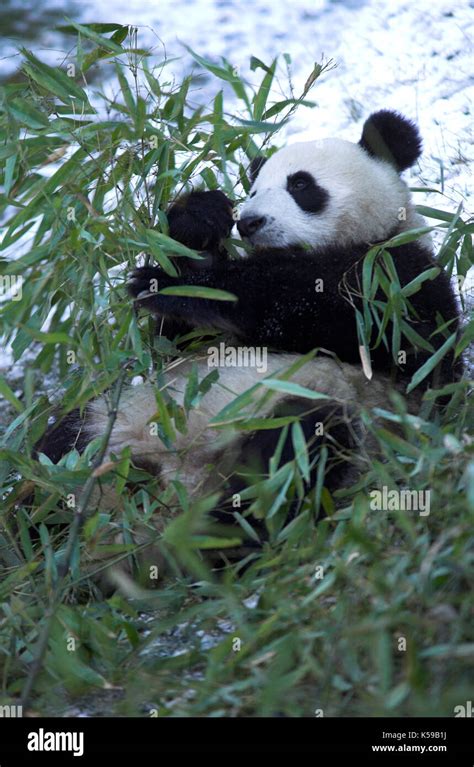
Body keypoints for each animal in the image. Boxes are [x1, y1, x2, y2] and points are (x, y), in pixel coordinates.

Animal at [40, 108, 462, 540]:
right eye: (255, 190)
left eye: (300, 184)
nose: (250, 222)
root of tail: (173, 484)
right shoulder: (191, 353)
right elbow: (175, 342)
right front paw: (199, 216)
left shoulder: (398, 279)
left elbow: (333, 314)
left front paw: (182, 286)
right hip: (121, 418)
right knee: (62, 443)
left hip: (330, 411)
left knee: (295, 449)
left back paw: (208, 538)